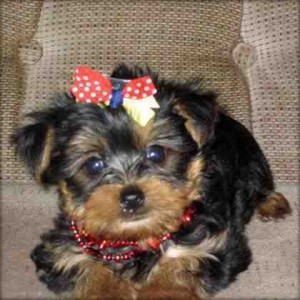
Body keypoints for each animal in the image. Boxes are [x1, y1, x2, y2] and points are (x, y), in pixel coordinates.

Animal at [14, 64, 290, 298]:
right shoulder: (59, 250)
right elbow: (88, 266)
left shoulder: (217, 245)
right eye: (93, 165)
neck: (137, 236)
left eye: (156, 153)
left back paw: (273, 203)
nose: (131, 197)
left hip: (253, 159)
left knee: (259, 185)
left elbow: (179, 263)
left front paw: (164, 288)